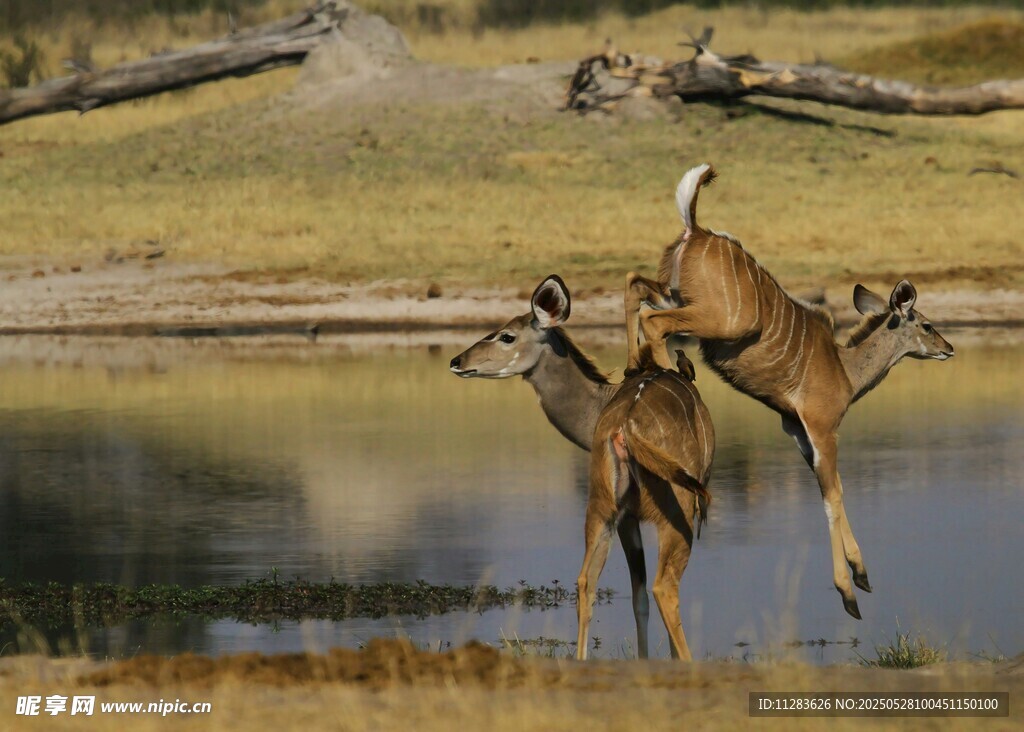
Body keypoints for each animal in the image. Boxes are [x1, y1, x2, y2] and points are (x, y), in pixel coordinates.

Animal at [449, 275, 714, 659]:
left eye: (506, 336)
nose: (457, 361)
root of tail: (624, 429)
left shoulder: (626, 519)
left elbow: (635, 598)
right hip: (676, 512)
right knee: (664, 586)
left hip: (602, 509)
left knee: (587, 581)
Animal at [624, 163, 955, 620]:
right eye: (925, 323)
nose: (949, 348)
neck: (844, 370)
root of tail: (696, 229)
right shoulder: (821, 426)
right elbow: (833, 495)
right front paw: (849, 593)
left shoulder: (798, 432)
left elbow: (830, 491)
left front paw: (862, 576)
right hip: (720, 319)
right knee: (653, 320)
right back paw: (663, 372)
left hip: (672, 292)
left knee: (634, 286)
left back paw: (636, 366)